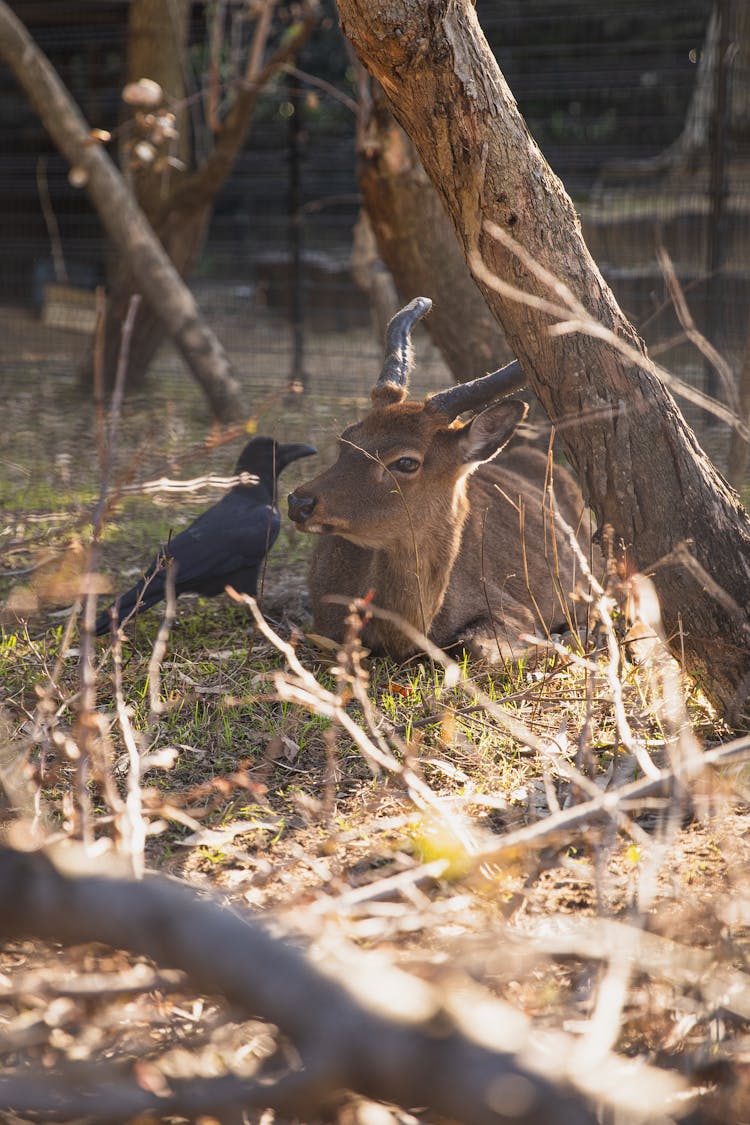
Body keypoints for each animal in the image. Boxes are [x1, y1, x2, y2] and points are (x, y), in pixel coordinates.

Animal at [287, 299, 593, 666]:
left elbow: (477, 645)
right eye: (346, 438)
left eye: (406, 461)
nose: (299, 502)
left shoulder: (515, 609)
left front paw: (563, 640)